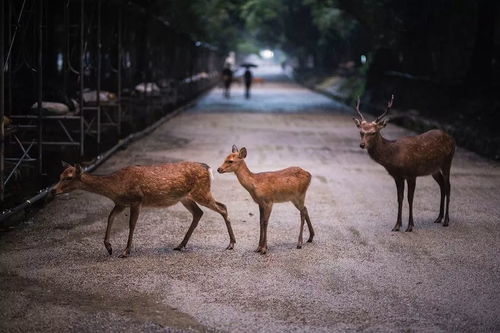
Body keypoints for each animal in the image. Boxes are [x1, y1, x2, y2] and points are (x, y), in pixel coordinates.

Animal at [51, 161, 235, 256]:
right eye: (59, 175)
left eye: (68, 177)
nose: (53, 191)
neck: (115, 186)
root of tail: (209, 169)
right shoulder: (121, 202)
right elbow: (110, 217)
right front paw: (109, 247)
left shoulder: (136, 200)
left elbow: (132, 224)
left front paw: (125, 251)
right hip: (186, 197)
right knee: (199, 213)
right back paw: (180, 245)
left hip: (201, 191)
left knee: (223, 207)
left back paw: (231, 244)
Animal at [354, 94, 456, 231]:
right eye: (361, 132)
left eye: (373, 132)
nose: (362, 145)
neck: (394, 156)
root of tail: (452, 139)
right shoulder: (397, 176)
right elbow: (400, 198)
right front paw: (397, 225)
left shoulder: (411, 173)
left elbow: (410, 198)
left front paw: (410, 226)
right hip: (434, 169)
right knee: (442, 186)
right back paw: (438, 218)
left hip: (447, 161)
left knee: (448, 186)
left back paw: (446, 220)